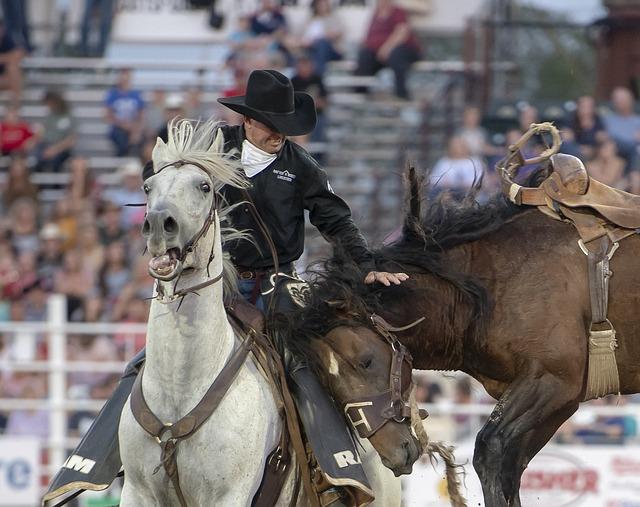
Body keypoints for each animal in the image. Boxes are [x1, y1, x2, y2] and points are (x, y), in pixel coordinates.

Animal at [117, 118, 408, 507]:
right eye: (148, 186)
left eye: (205, 186)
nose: (159, 224)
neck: (181, 389)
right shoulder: (138, 492)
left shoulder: (230, 495)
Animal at [287, 168, 640, 507]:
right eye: (326, 383)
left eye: (366, 361)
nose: (395, 454)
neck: (489, 283)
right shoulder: (555, 401)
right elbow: (511, 467)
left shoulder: (554, 380)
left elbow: (490, 449)